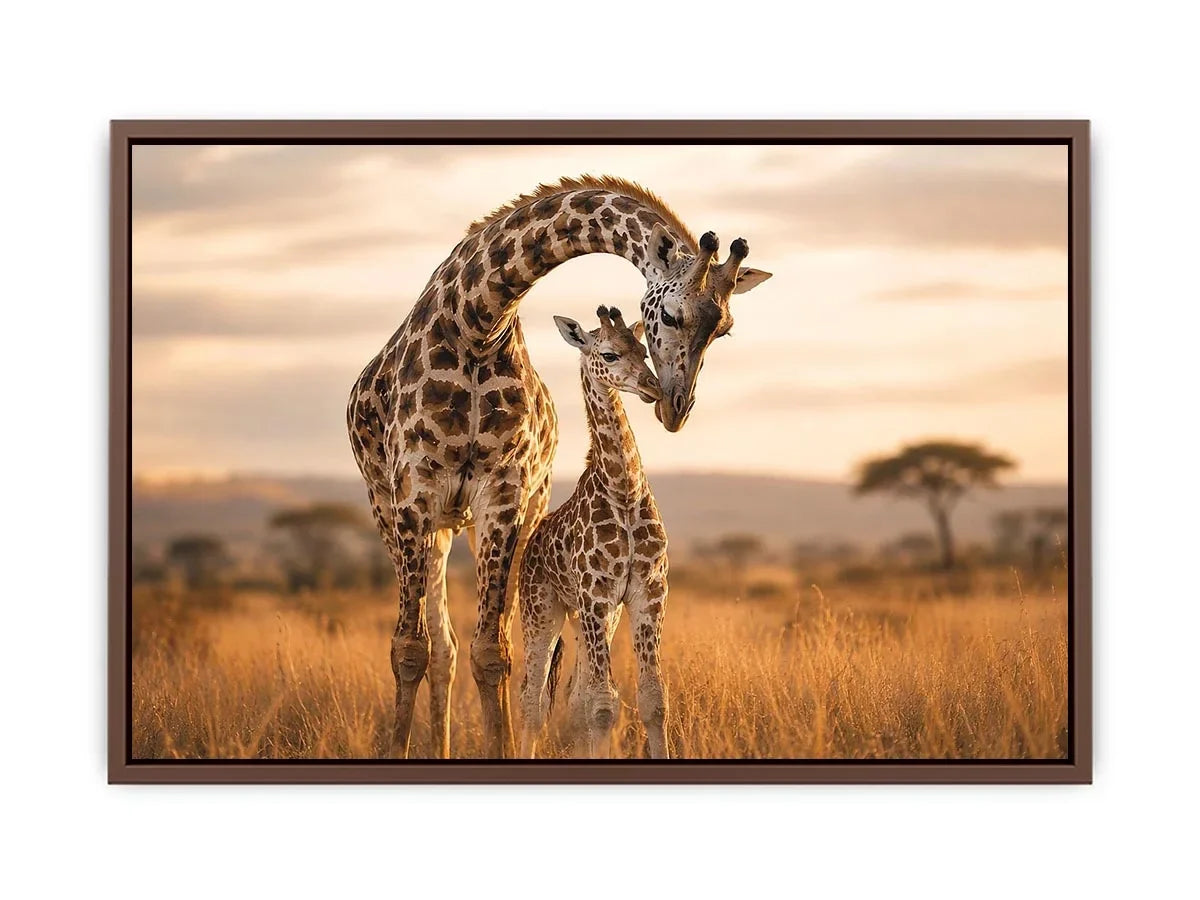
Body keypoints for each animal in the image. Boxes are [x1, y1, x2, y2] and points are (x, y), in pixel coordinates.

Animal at [517, 306, 670, 759]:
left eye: (643, 349)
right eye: (609, 354)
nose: (653, 387)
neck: (624, 490)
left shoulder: (647, 594)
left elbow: (652, 699)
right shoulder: (595, 596)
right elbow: (604, 706)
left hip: (592, 617)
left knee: (575, 696)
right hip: (542, 611)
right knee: (532, 699)